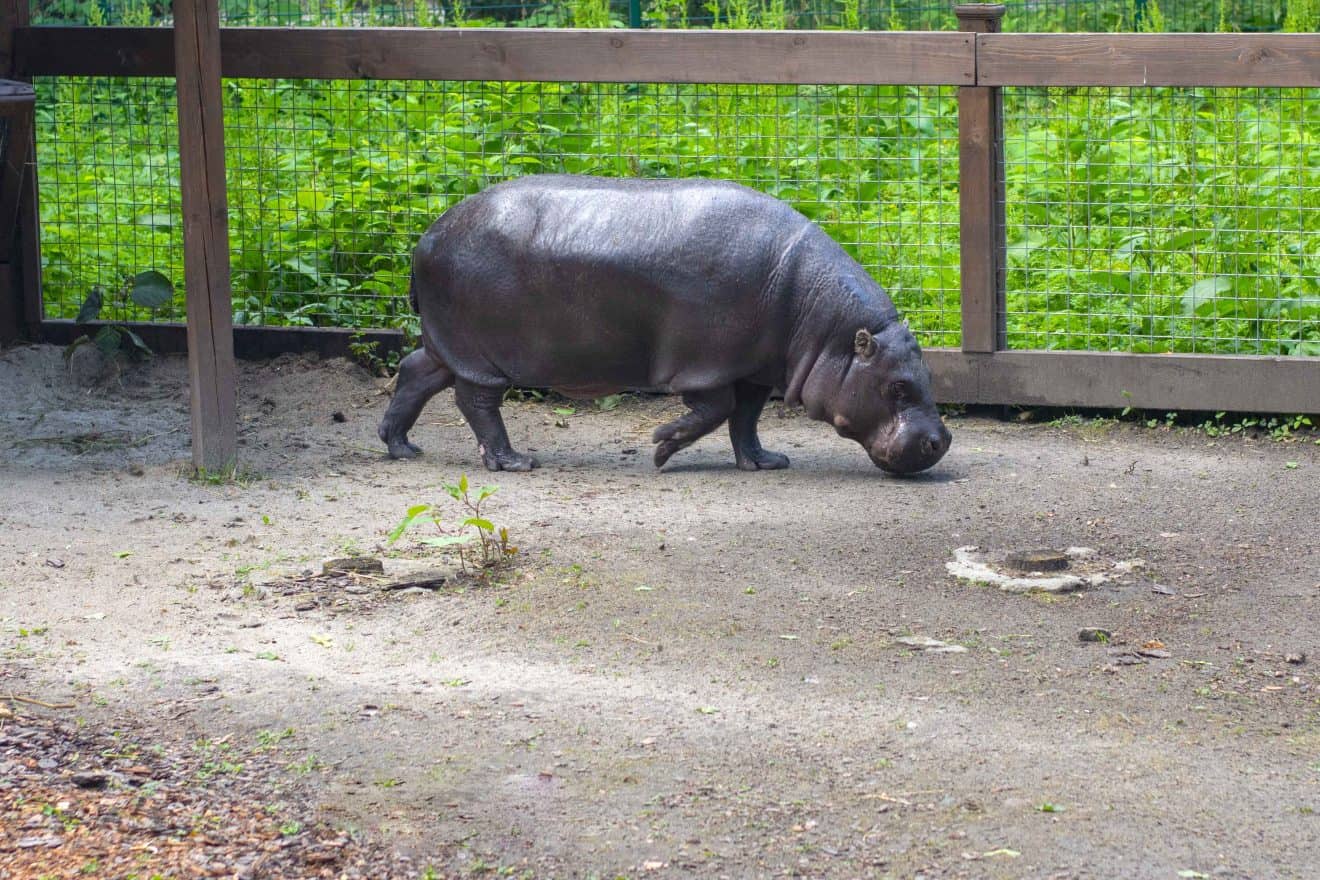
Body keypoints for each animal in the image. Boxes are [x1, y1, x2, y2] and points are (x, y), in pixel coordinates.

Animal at [380, 172, 950, 474]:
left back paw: (401, 446)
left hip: (447, 344)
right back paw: (514, 462)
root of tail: (426, 237)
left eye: (927, 375)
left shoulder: (753, 366)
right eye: (898, 388)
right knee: (476, 401)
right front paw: (660, 446)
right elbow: (717, 409)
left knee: (415, 371)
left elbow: (747, 417)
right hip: (481, 354)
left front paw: (766, 461)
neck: (821, 321)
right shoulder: (705, 363)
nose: (941, 441)